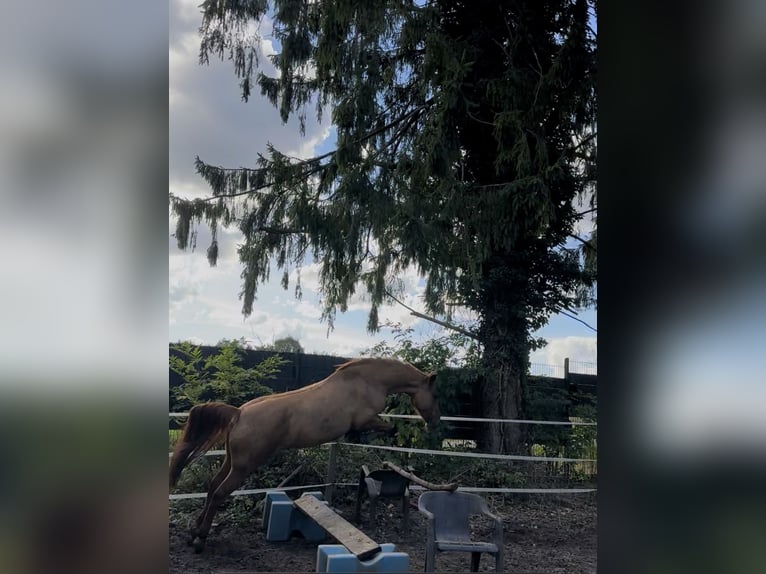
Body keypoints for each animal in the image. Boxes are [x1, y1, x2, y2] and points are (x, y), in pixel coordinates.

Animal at [169, 357, 440, 552]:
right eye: (435, 397)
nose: (435, 421)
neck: (368, 381)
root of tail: (239, 413)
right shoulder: (367, 420)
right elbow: (388, 427)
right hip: (243, 467)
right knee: (219, 493)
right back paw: (200, 540)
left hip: (230, 463)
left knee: (212, 488)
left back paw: (194, 532)